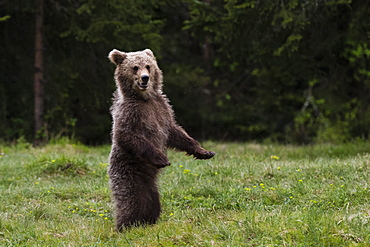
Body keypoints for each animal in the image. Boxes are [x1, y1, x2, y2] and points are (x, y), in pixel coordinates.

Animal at [107, 48, 215, 232]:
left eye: (148, 66)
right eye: (135, 67)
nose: (145, 78)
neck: (144, 98)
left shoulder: (162, 109)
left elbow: (176, 133)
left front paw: (204, 152)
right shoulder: (130, 113)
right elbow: (127, 135)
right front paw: (162, 158)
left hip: (150, 185)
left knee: (152, 203)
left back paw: (148, 221)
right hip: (128, 171)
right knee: (131, 200)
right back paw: (125, 226)